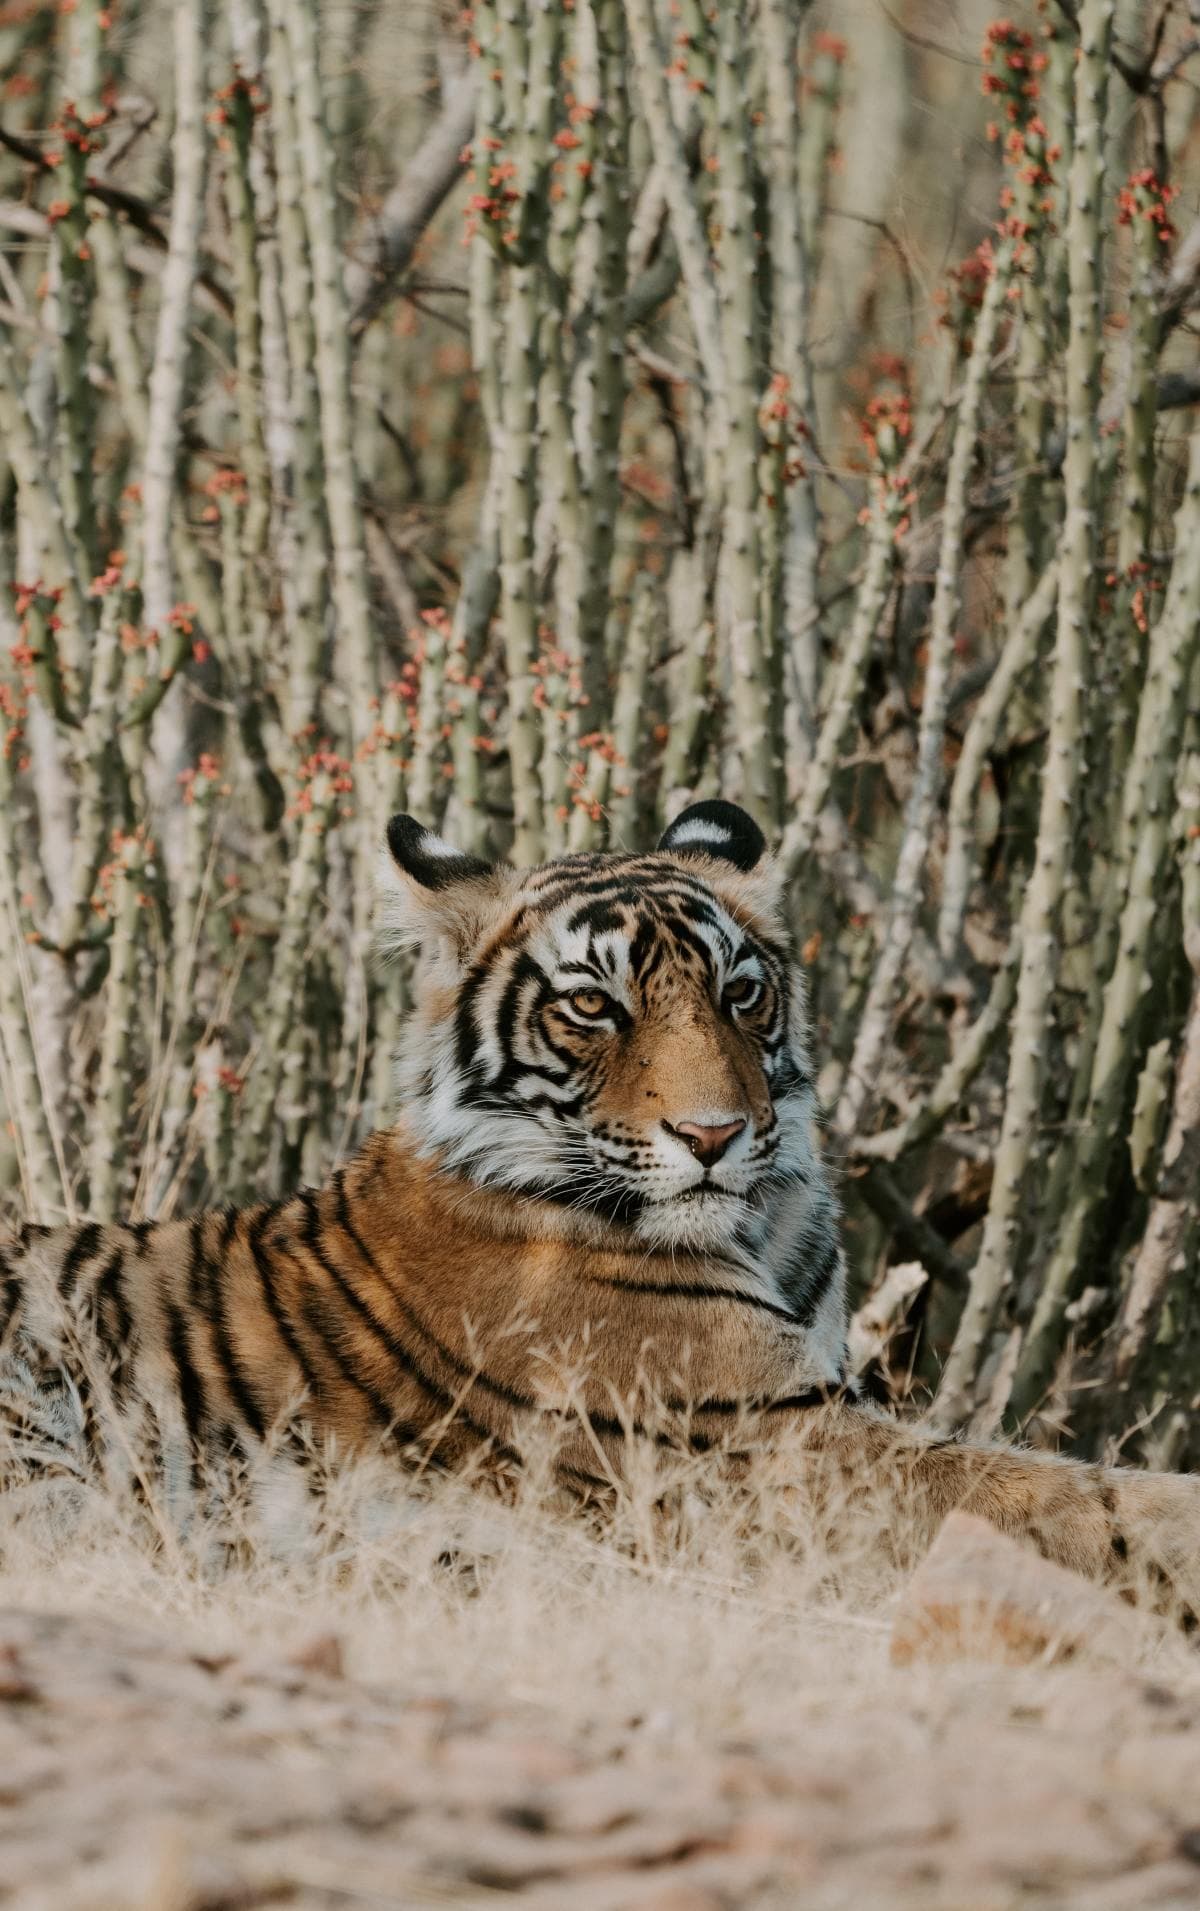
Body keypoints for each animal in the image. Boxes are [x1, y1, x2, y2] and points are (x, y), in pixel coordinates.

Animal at [2, 798, 1199, 1600]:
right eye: (593, 1007)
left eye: (741, 993)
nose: (714, 1136)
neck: (763, 1225)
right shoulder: (781, 1448)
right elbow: (1068, 1497)